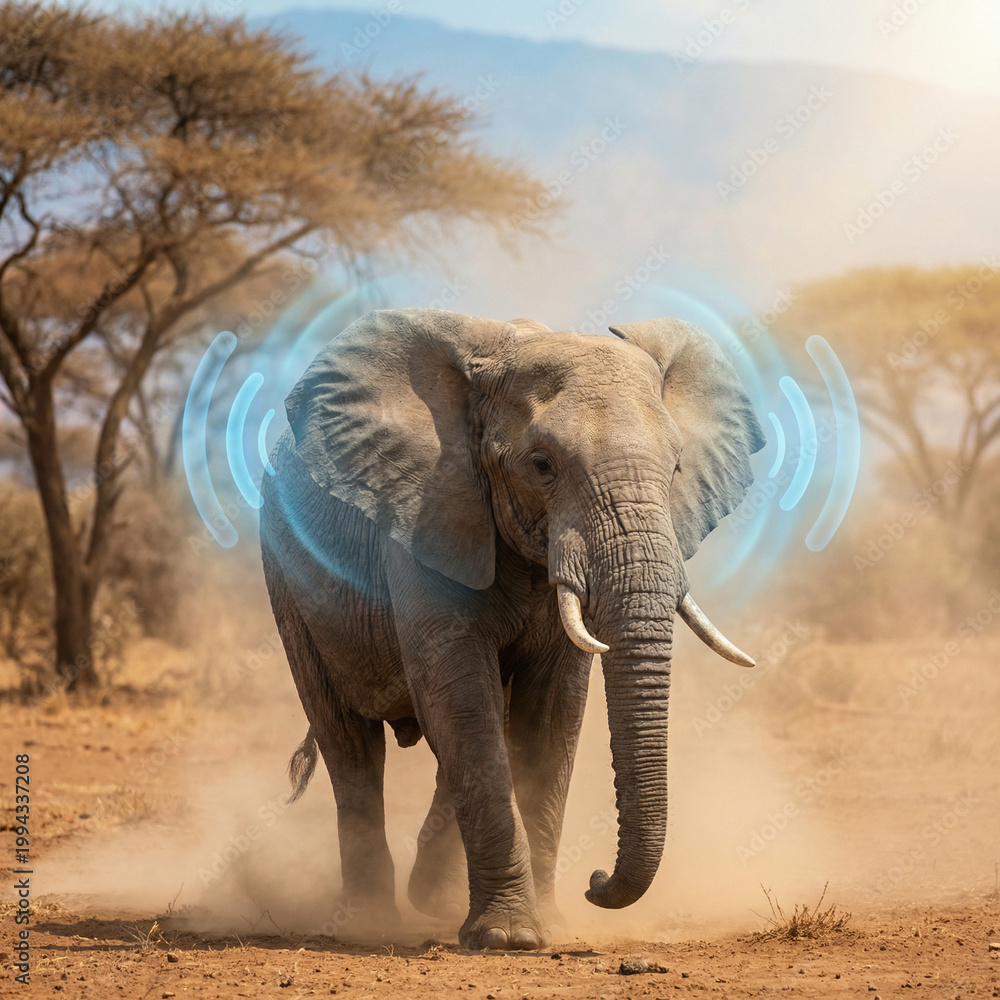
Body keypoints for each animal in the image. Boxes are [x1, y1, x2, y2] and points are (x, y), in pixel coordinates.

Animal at [259, 308, 765, 951]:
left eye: (676, 467)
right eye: (541, 465)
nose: (596, 881)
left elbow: (549, 714)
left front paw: (550, 925)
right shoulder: (432, 508)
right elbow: (459, 696)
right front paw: (509, 938)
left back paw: (434, 899)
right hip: (285, 576)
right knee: (349, 743)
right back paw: (367, 923)